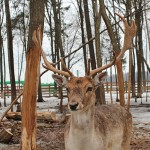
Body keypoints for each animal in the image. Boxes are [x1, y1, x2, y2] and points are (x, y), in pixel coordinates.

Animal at [32, 13, 137, 150]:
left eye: (89, 88)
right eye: (67, 88)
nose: (73, 105)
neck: (82, 146)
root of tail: (126, 110)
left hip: (126, 140)